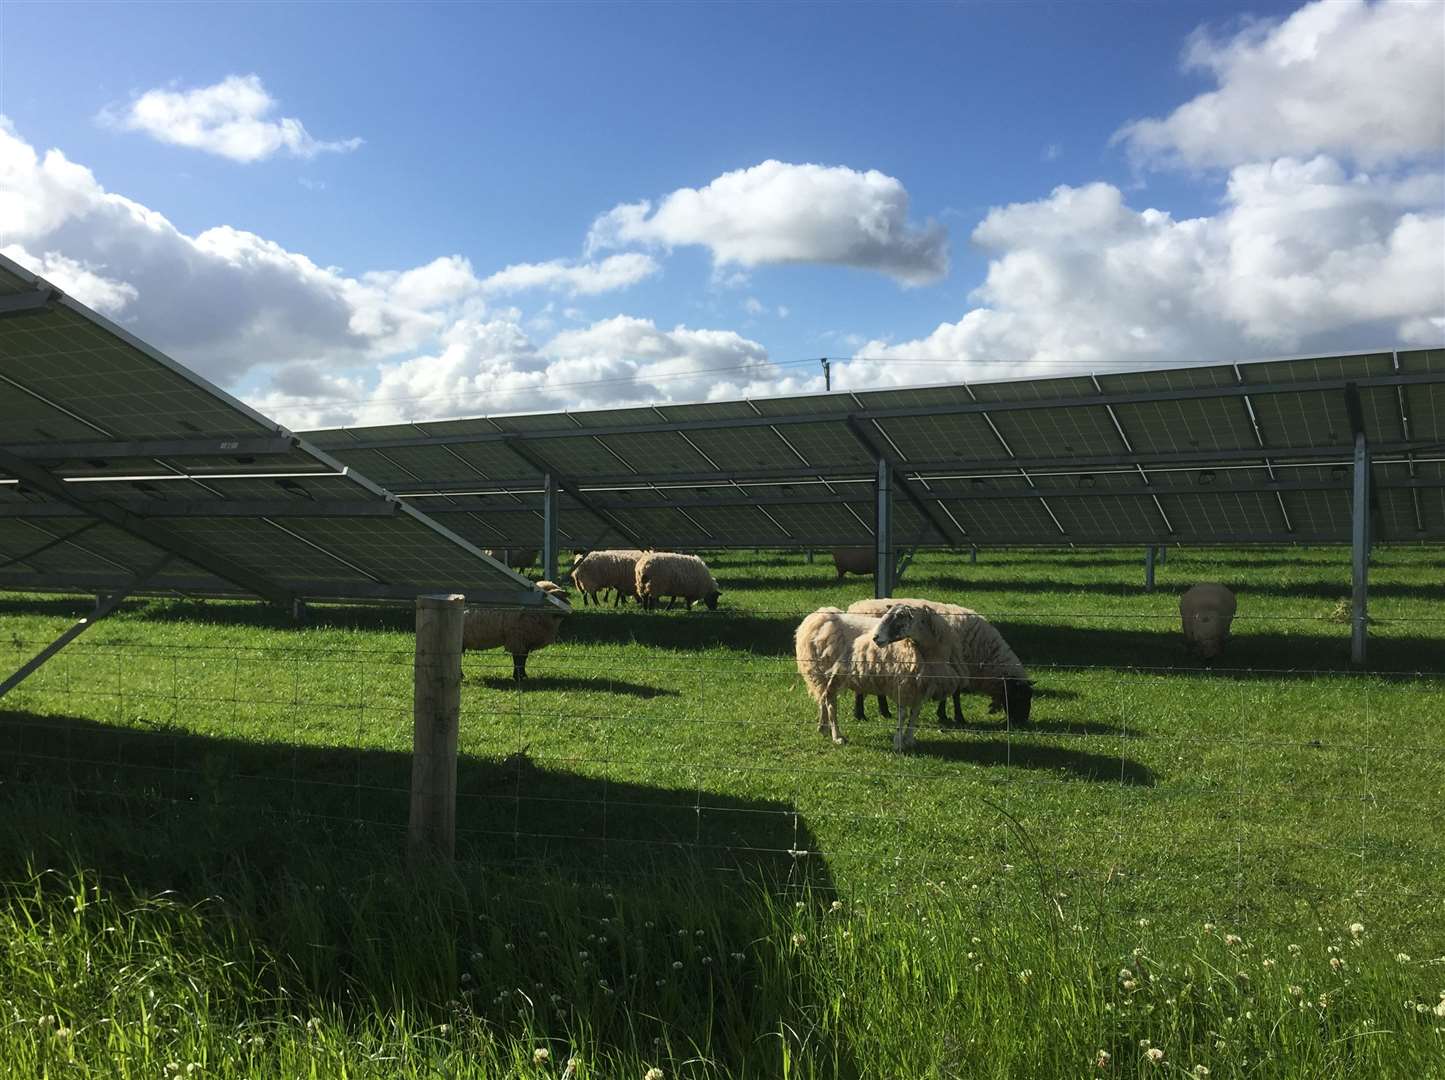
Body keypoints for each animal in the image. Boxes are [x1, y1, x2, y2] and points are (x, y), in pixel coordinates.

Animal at [797, 598, 953, 751]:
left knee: (823, 698)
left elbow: (915, 713)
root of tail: (816, 618)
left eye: (900, 616)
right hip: (829, 672)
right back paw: (837, 736)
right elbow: (903, 714)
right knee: (830, 701)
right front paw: (898, 743)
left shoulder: (922, 686)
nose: (875, 638)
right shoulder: (902, 684)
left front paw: (909, 740)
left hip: (825, 675)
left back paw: (823, 728)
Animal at [849, 595, 1034, 731]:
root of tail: (854, 607)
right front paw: (957, 717)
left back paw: (885, 712)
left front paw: (944, 714)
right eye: (1019, 696)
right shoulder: (958, 664)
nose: (1022, 723)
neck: (985, 652)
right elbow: (956, 694)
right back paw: (860, 714)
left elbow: (950, 692)